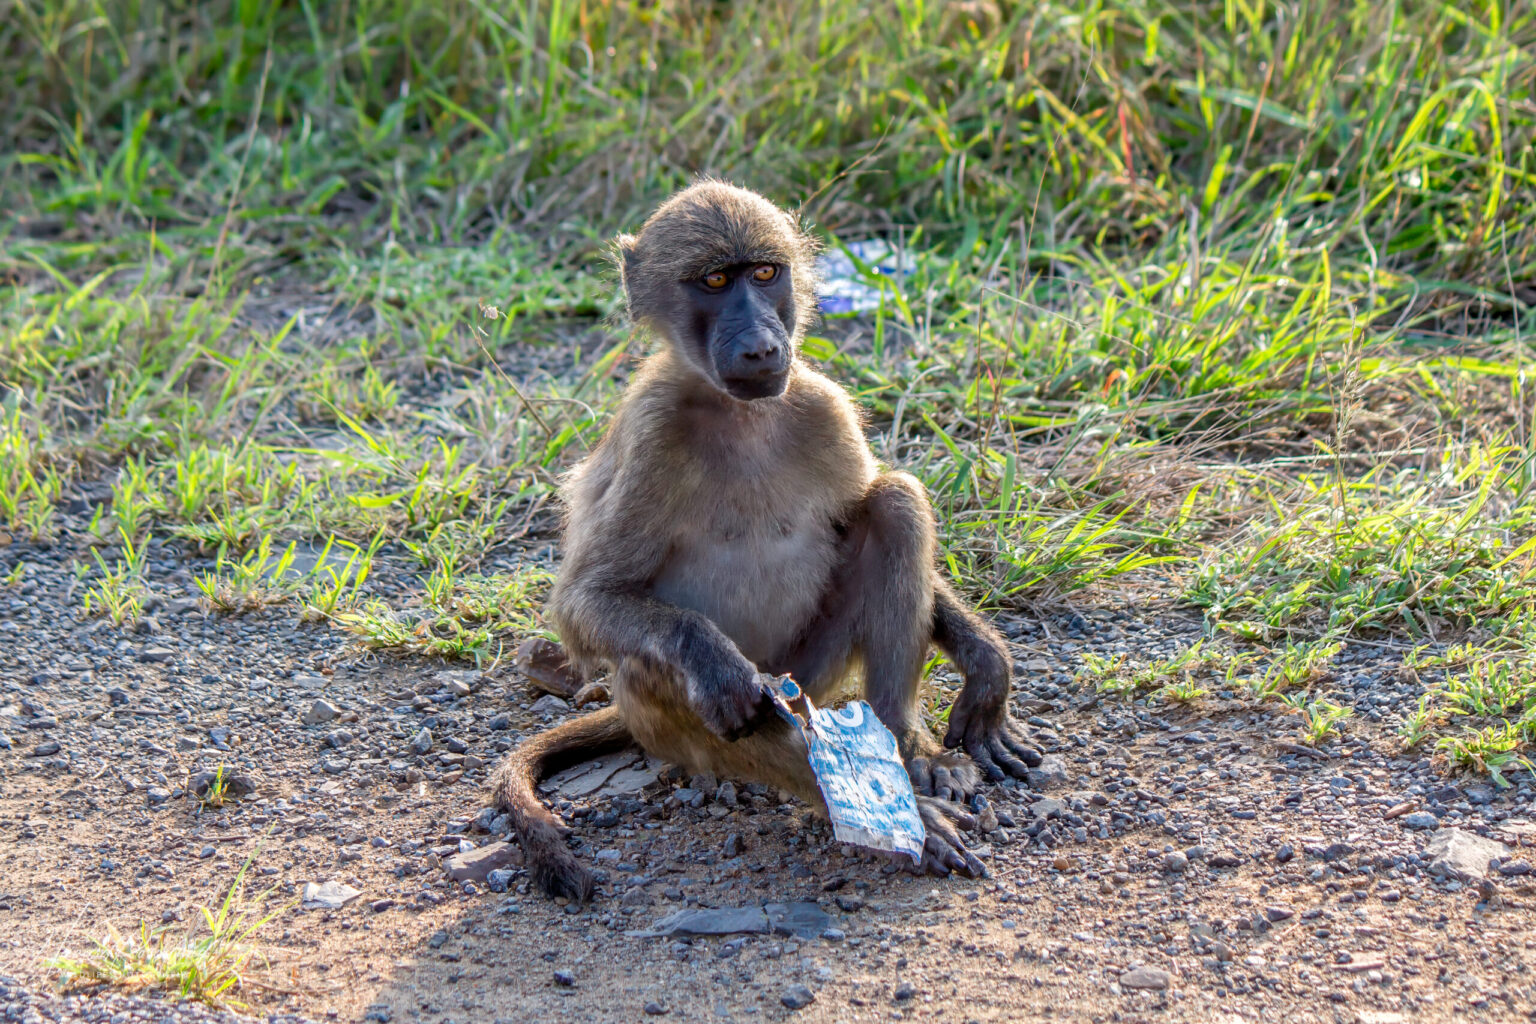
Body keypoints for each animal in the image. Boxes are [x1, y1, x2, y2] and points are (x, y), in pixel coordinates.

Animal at [492, 181, 1042, 901]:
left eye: (764, 274)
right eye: (714, 281)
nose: (759, 346)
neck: (740, 413)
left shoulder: (822, 404)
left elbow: (871, 501)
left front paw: (986, 668)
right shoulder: (649, 433)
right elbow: (586, 602)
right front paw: (718, 666)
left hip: (813, 669)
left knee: (895, 503)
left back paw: (911, 752)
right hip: (690, 718)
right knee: (669, 672)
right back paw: (895, 815)